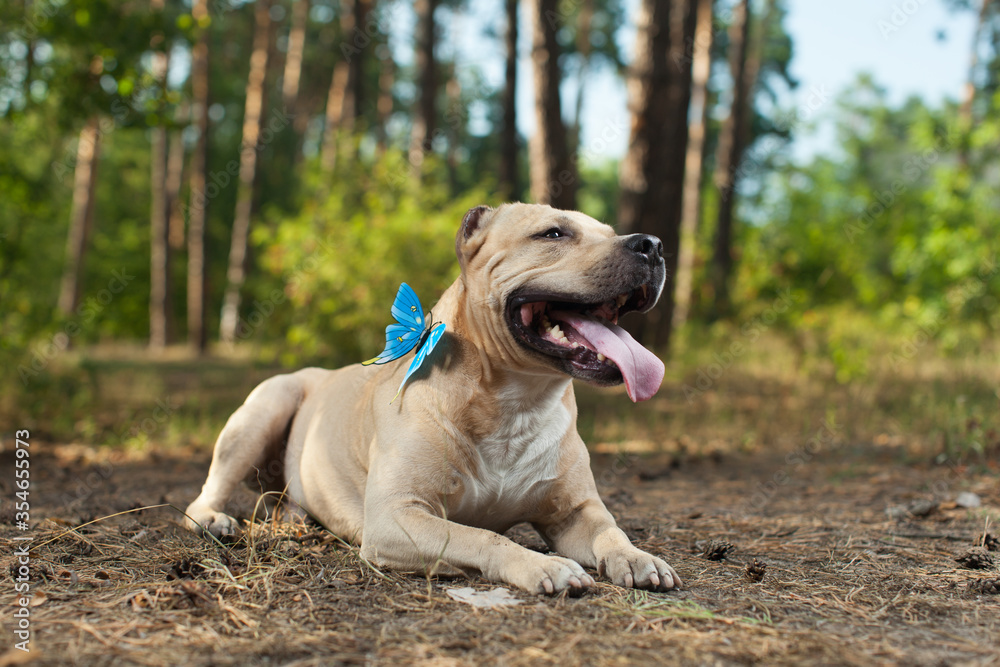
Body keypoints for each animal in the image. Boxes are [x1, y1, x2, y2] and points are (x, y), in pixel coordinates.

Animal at [185, 204, 684, 596]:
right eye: (553, 233)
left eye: (609, 230)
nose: (653, 245)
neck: (516, 401)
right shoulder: (398, 516)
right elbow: (483, 537)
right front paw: (542, 564)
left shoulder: (576, 511)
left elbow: (609, 530)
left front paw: (636, 556)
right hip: (267, 405)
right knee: (206, 493)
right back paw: (214, 519)